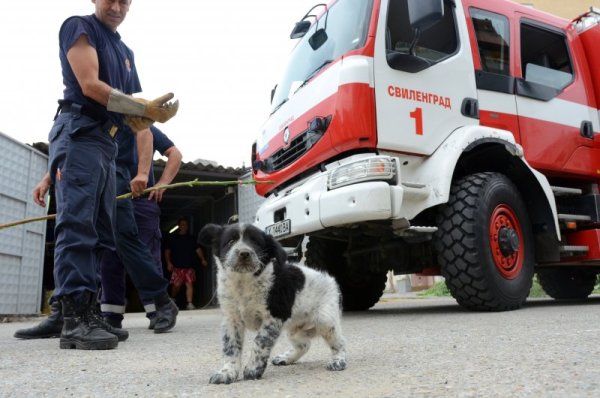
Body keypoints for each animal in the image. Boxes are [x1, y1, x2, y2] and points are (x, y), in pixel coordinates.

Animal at [198, 222, 346, 384]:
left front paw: (253, 369)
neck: (244, 283)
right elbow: (231, 347)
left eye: (256, 243)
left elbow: (260, 341)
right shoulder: (231, 320)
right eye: (230, 242)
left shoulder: (274, 317)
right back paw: (286, 358)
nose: (244, 253)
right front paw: (227, 372)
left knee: (340, 341)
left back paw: (338, 360)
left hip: (326, 320)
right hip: (294, 328)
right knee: (305, 344)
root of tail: (331, 280)